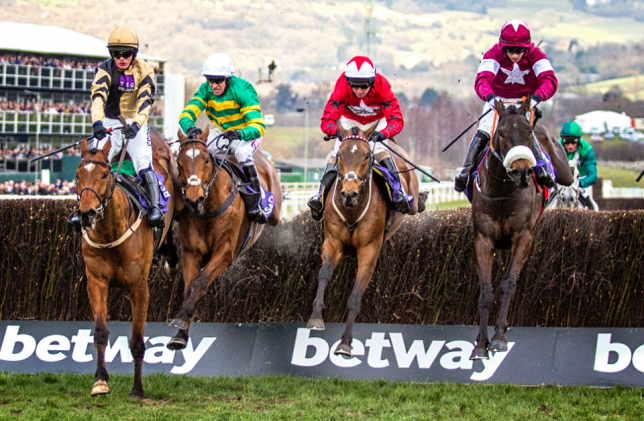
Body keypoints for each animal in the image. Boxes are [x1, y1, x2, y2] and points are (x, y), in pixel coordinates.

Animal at [76, 132, 181, 398]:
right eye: (78, 174)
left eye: (104, 174)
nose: (86, 214)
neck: (110, 233)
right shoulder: (96, 282)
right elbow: (100, 333)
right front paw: (100, 381)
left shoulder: (139, 287)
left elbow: (136, 340)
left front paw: (137, 388)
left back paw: (172, 259)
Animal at [167, 126, 280, 350]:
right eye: (179, 163)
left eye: (206, 160)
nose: (193, 199)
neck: (209, 208)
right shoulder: (191, 252)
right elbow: (189, 287)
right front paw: (180, 334)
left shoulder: (225, 252)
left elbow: (200, 282)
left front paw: (182, 317)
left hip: (275, 212)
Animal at [308, 124, 422, 354]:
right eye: (340, 156)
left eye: (367, 156)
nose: (348, 194)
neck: (352, 210)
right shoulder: (332, 242)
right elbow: (324, 274)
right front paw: (316, 317)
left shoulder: (369, 250)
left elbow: (355, 295)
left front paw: (345, 342)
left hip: (412, 201)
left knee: (415, 203)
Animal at [470, 94, 572, 358]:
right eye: (502, 133)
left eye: (528, 131)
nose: (523, 171)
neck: (502, 190)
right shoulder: (483, 239)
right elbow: (485, 292)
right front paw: (480, 344)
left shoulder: (523, 237)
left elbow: (508, 284)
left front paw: (498, 338)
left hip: (564, 170)